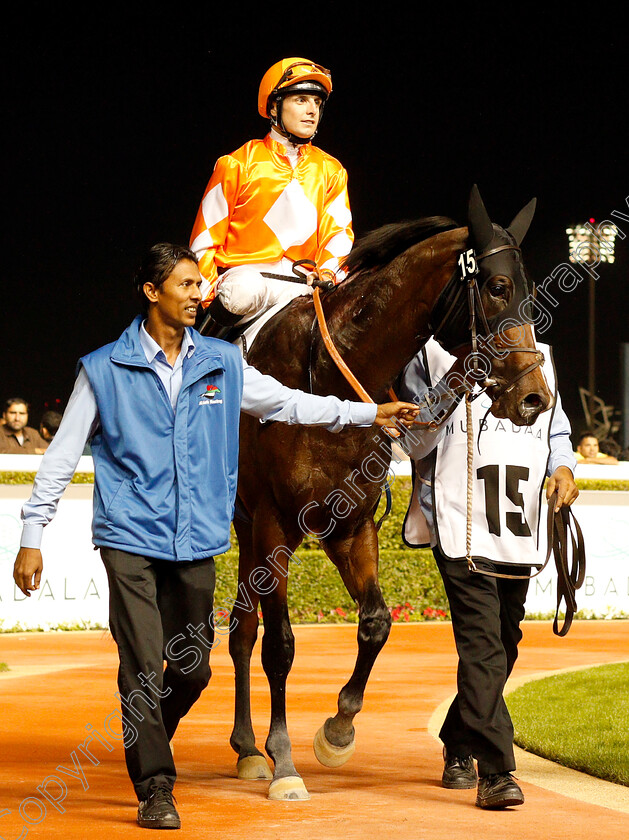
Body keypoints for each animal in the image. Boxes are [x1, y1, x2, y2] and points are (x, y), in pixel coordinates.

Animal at [224, 185, 548, 800]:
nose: (534, 397)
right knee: (246, 630)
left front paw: (338, 730)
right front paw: (284, 762)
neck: (328, 379)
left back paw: (247, 748)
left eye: (531, 291)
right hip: (245, 522)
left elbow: (376, 622)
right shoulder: (275, 521)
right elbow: (281, 645)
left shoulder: (351, 525)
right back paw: (254, 750)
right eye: (499, 287)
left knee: (241, 627)